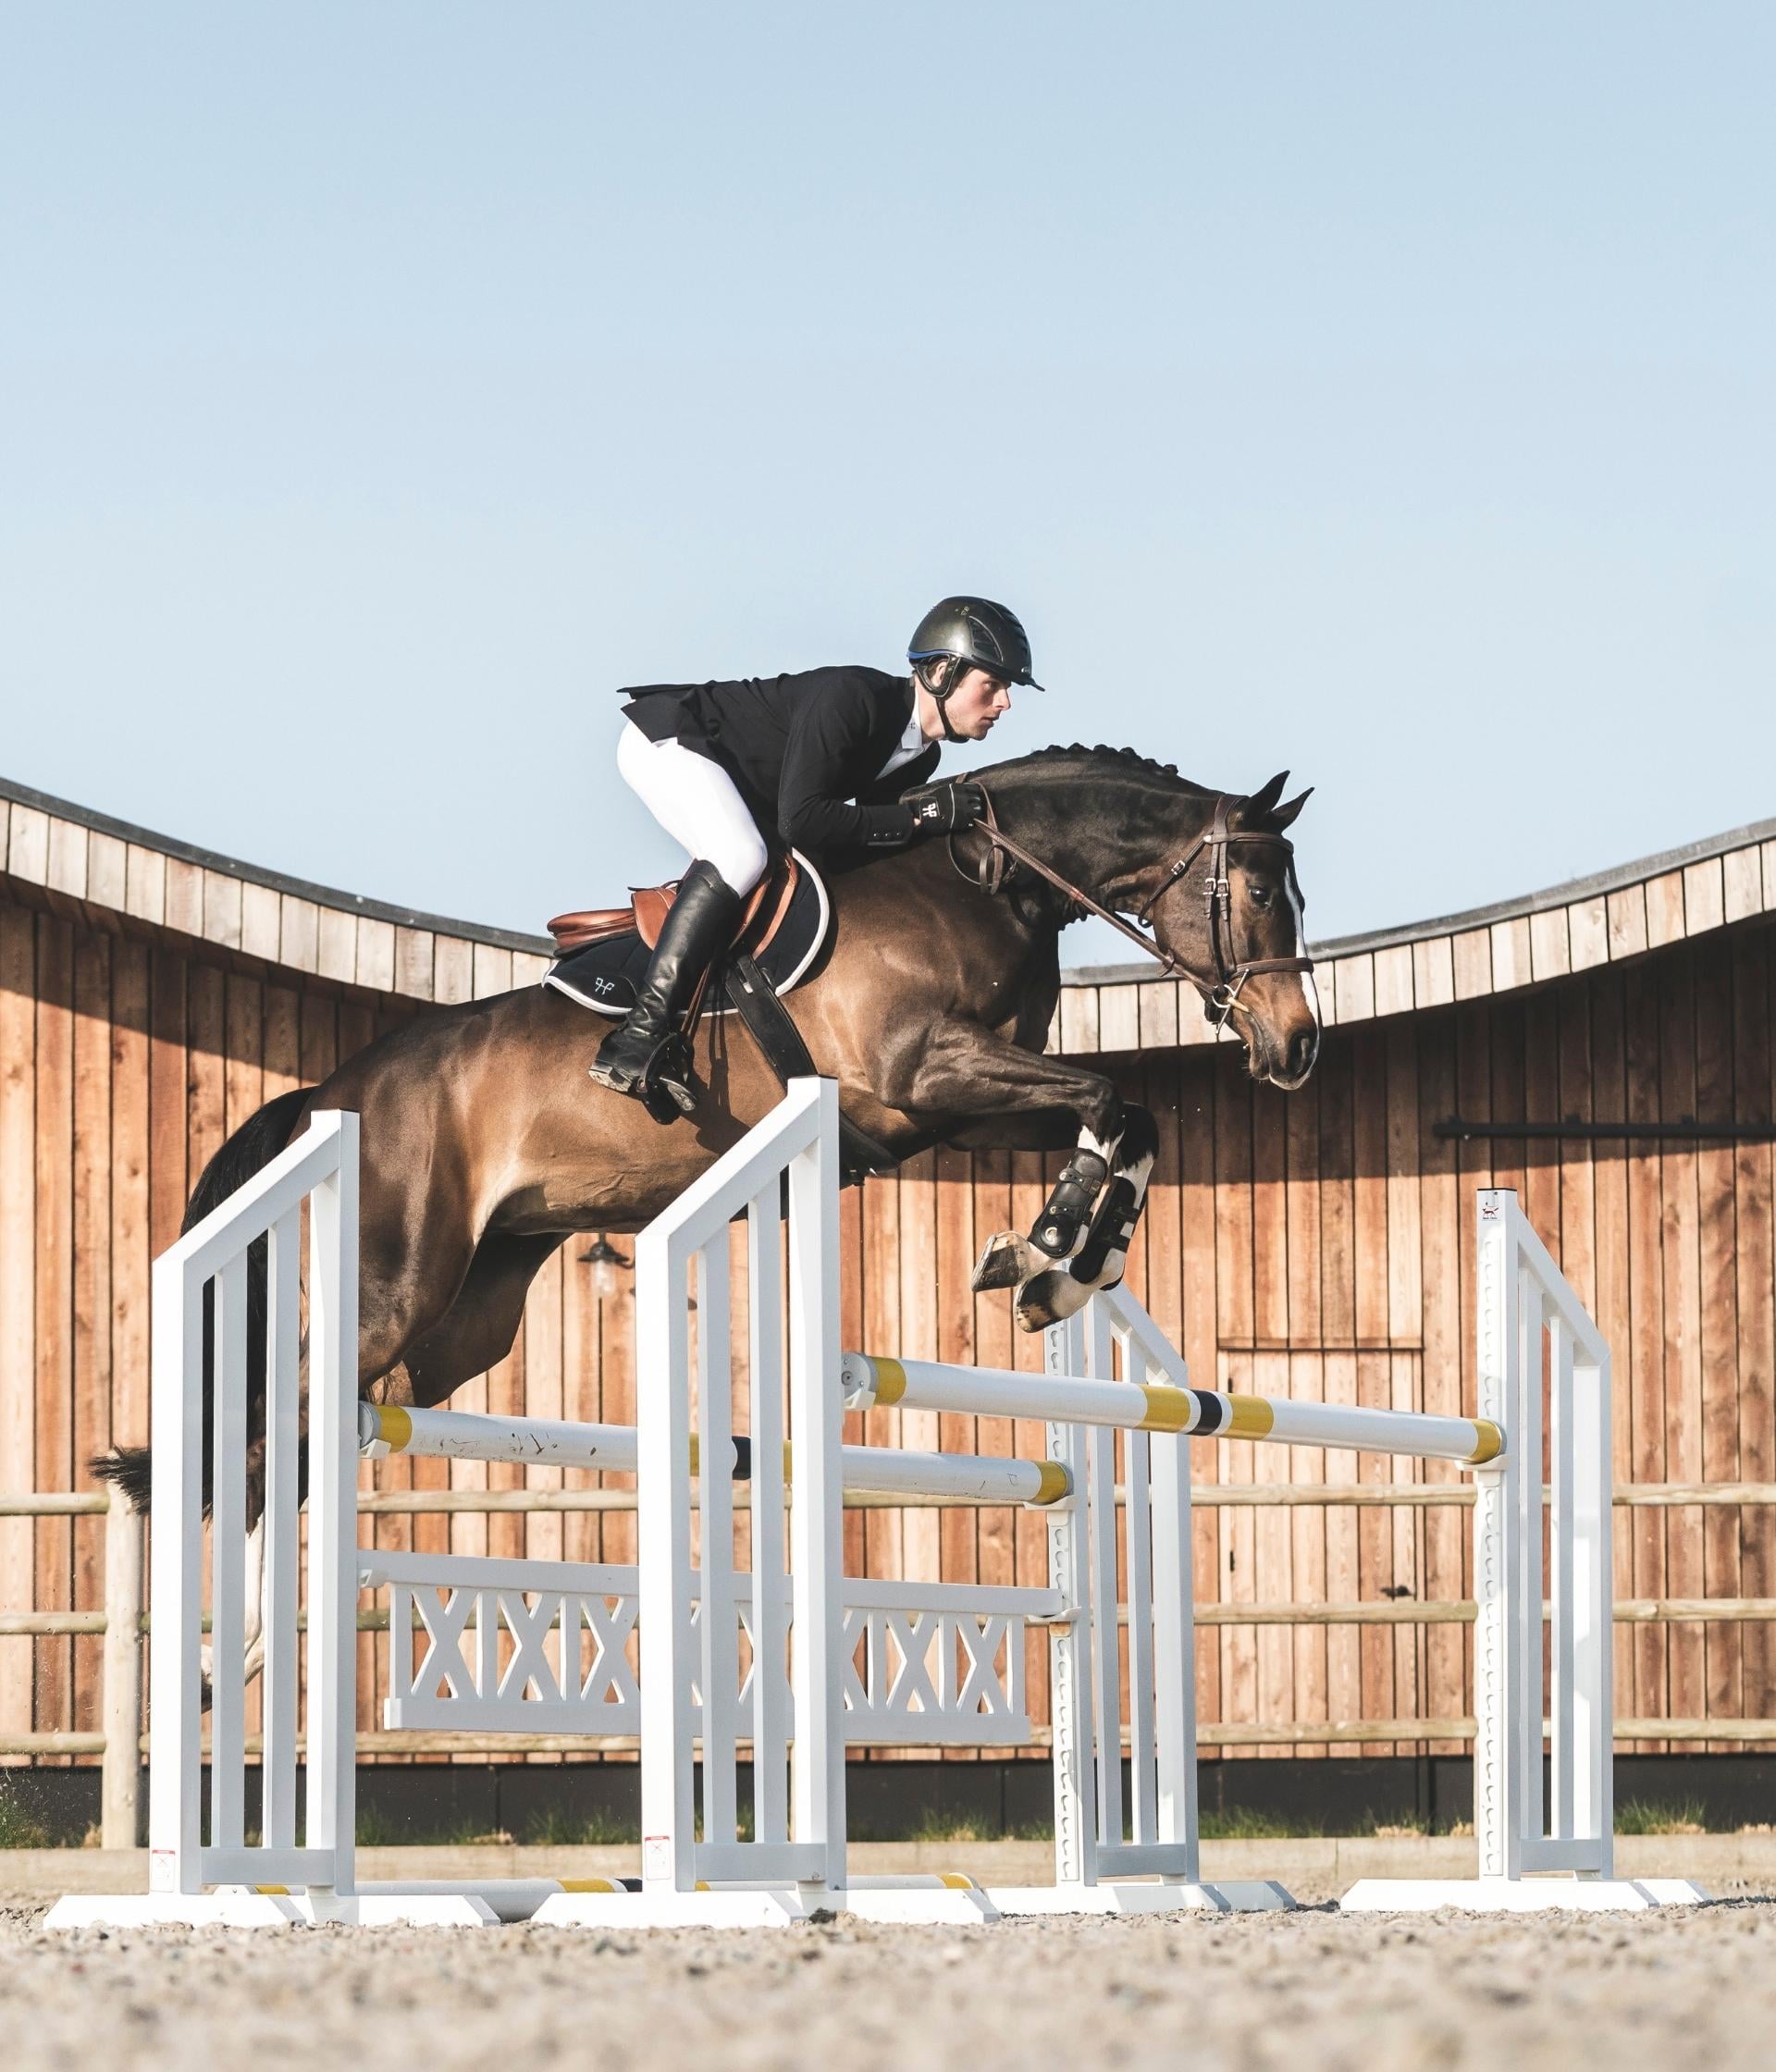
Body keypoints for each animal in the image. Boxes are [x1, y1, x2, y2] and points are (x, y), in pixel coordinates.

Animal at [95, 745, 1319, 1676]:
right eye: (1263, 893)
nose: (1298, 1045)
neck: (982, 876)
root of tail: (333, 1090)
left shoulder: (953, 1111)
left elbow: (1125, 1117)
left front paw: (1054, 1262)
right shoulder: (922, 1071)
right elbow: (1112, 1099)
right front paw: (1055, 1248)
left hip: (463, 1321)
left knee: (315, 1421)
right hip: (390, 1282)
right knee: (267, 1429)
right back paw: (239, 1649)